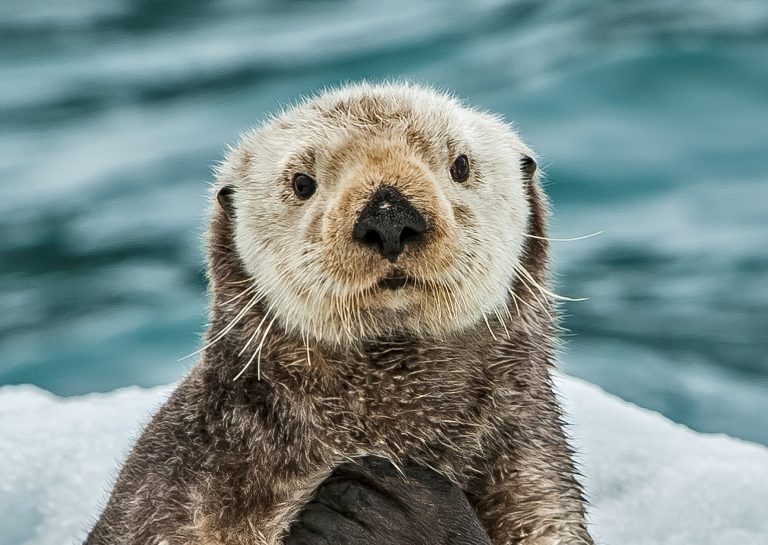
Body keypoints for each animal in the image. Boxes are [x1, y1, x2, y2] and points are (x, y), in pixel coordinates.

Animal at [85, 83, 593, 545]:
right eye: (301, 183)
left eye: (461, 165)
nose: (388, 216)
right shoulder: (176, 485)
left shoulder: (536, 486)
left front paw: (387, 506)